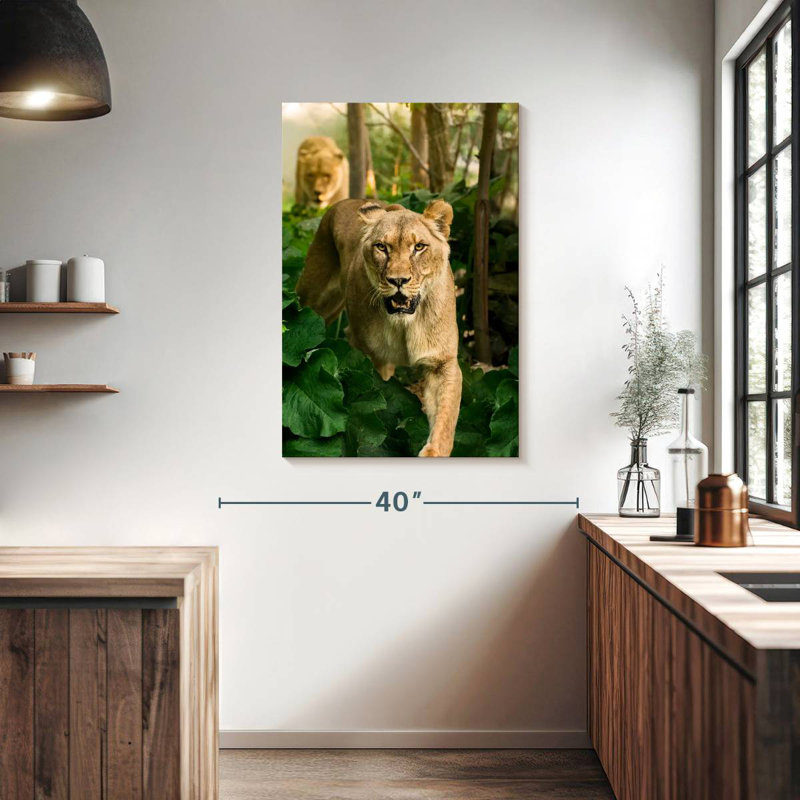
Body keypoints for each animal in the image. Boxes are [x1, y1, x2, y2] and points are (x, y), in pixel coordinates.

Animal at [296, 198, 462, 457]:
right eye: (382, 247)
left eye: (419, 247)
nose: (398, 280)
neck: (405, 322)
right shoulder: (374, 357)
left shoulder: (442, 361)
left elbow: (446, 416)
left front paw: (433, 452)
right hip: (315, 300)